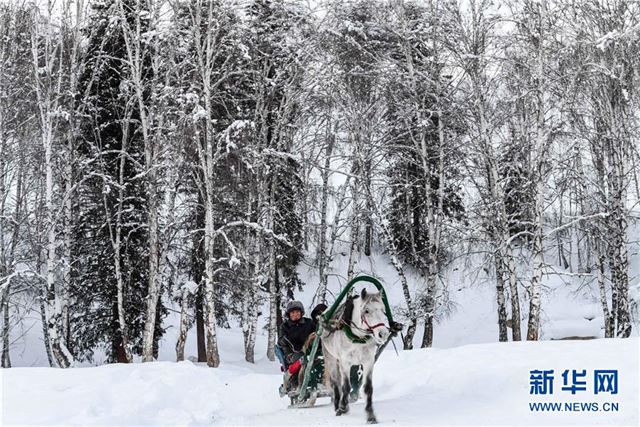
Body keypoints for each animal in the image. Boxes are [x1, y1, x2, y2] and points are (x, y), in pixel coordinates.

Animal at [320, 288, 390, 424]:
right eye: (366, 310)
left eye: (383, 310)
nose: (383, 334)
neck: (358, 338)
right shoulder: (345, 362)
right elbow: (346, 386)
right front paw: (342, 407)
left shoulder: (368, 362)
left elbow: (368, 388)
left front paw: (370, 415)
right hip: (331, 359)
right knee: (336, 383)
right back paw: (337, 406)